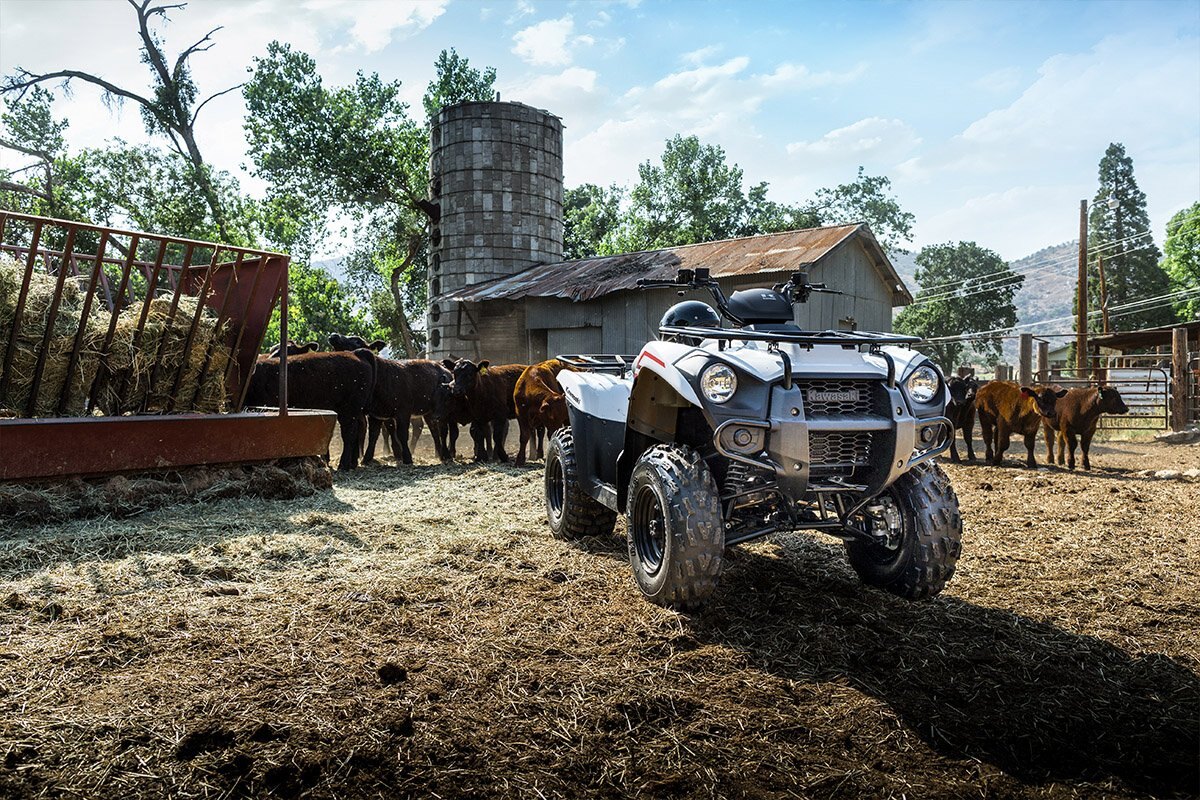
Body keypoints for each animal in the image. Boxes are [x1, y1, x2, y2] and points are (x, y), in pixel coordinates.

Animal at [243, 347, 374, 470]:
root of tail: (356, 353)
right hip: (355, 411)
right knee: (359, 429)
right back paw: (352, 463)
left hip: (349, 410)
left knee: (349, 433)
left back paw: (344, 464)